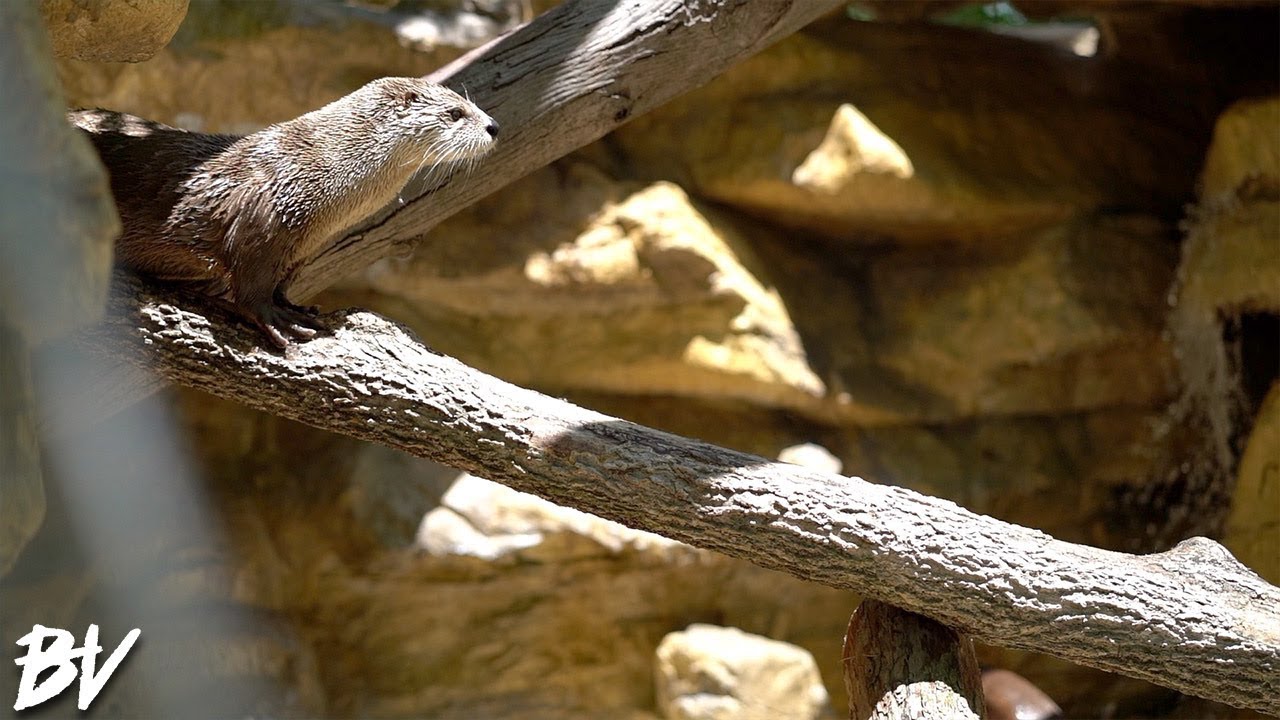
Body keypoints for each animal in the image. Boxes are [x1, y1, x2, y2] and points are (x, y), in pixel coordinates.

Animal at [72, 77, 498, 348]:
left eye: (472, 105)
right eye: (456, 112)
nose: (493, 126)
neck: (326, 172)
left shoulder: (301, 245)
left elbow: (282, 280)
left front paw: (294, 306)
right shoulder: (262, 211)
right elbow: (251, 280)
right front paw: (279, 320)